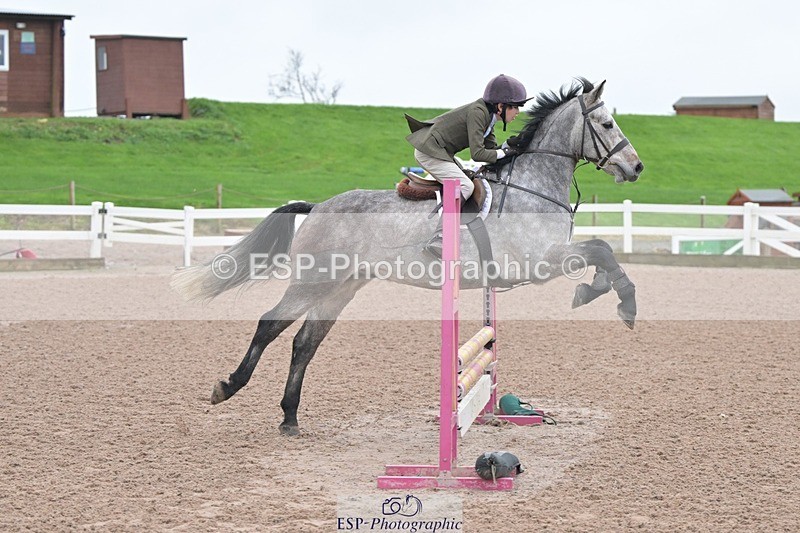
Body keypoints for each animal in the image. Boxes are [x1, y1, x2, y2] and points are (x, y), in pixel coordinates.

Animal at [171, 78, 644, 436]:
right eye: (606, 123)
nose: (636, 168)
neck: (533, 185)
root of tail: (318, 206)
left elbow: (601, 250)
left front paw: (608, 296)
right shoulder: (541, 261)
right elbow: (599, 251)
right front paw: (613, 300)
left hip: (340, 288)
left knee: (305, 343)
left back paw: (290, 418)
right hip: (313, 282)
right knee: (271, 324)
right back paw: (228, 387)